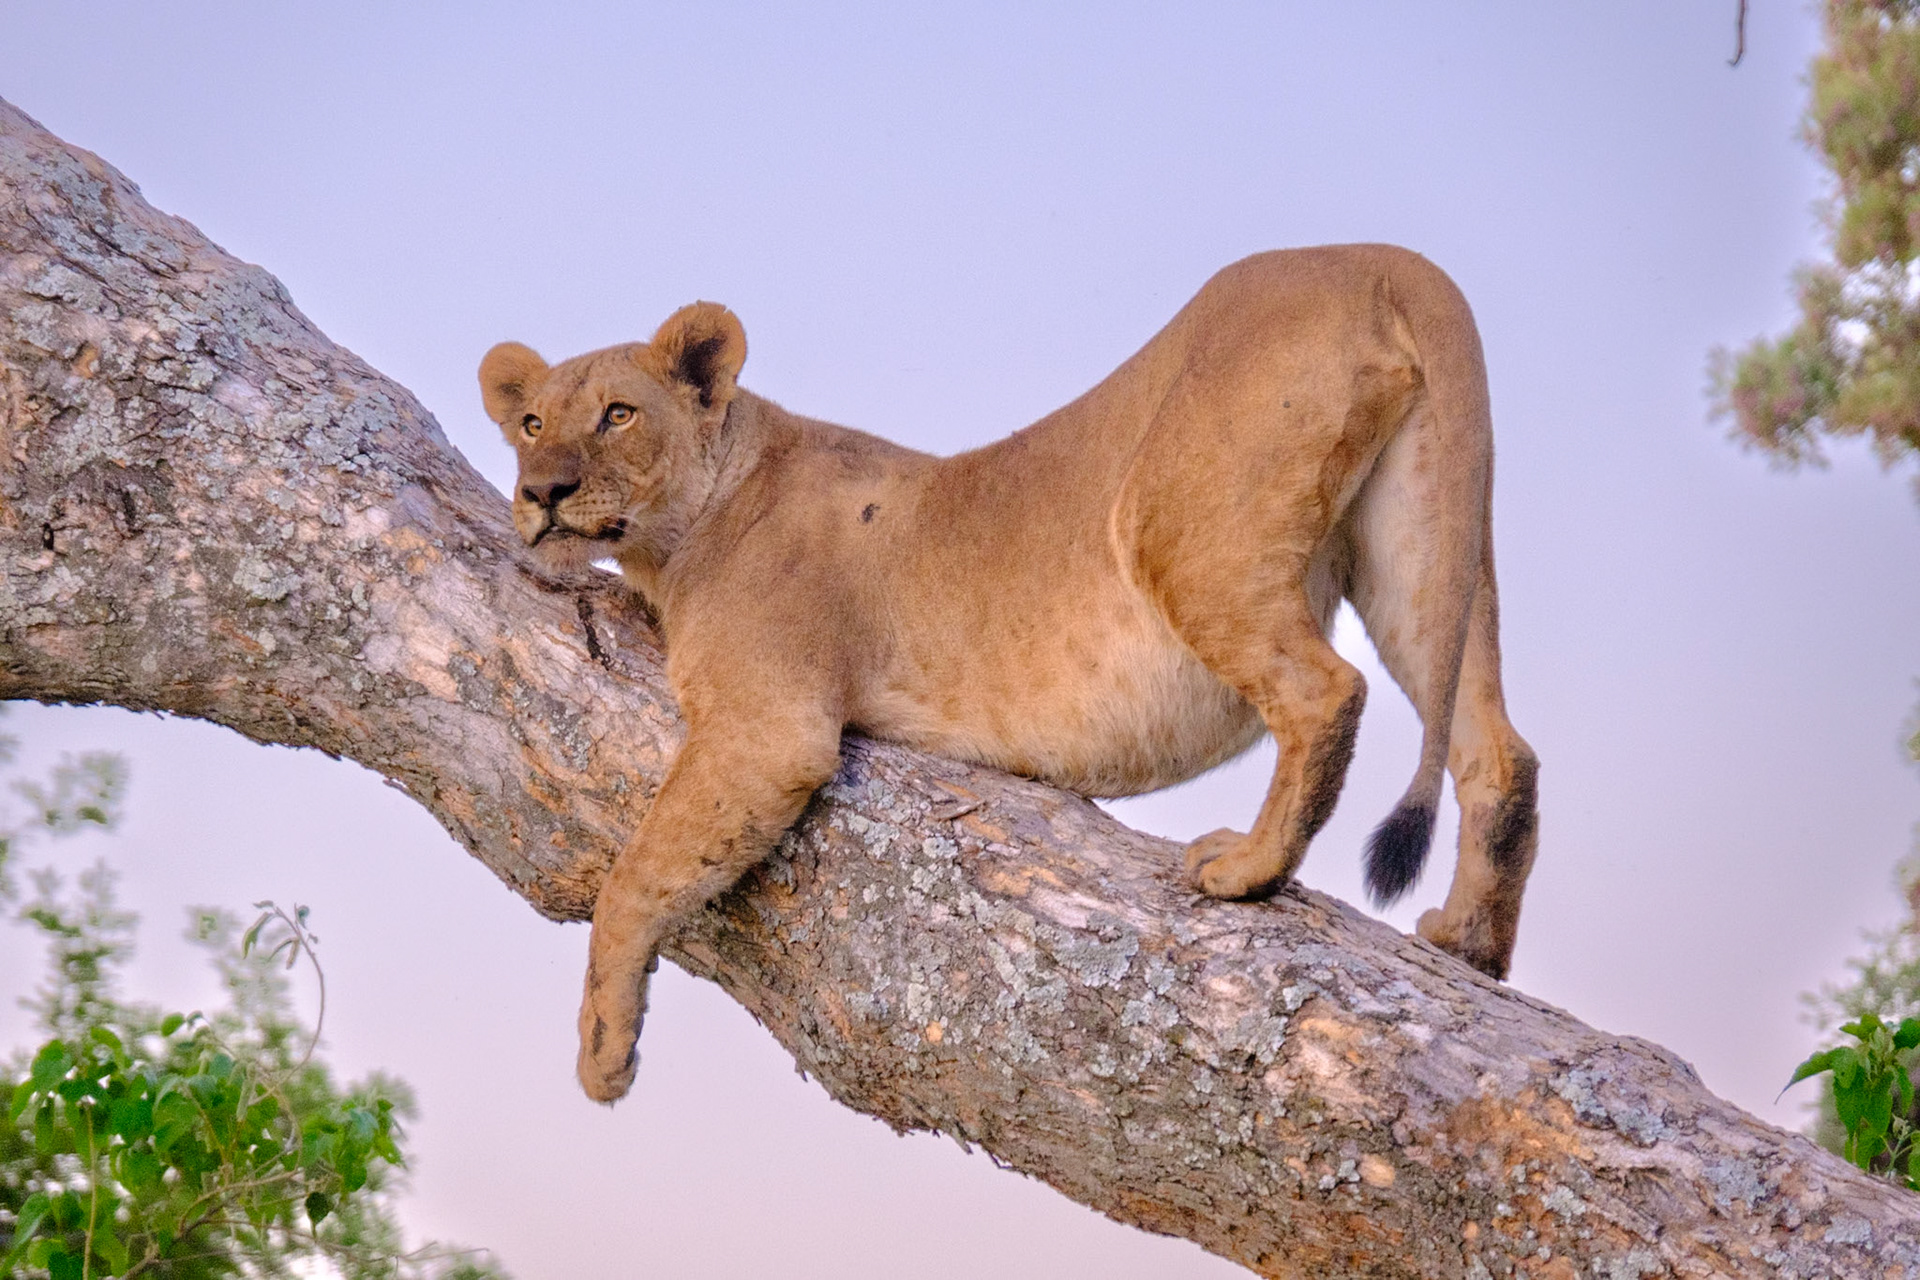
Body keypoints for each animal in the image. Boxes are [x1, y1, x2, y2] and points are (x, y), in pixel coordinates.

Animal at [479, 244, 1540, 1103]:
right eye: (528, 422)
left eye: (618, 414)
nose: (542, 493)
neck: (675, 541)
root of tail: (1384, 258)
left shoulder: (768, 727)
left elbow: (634, 878)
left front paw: (603, 1051)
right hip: (1422, 543)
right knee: (1500, 750)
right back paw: (1469, 942)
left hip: (1180, 527)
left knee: (1328, 691)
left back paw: (1247, 867)